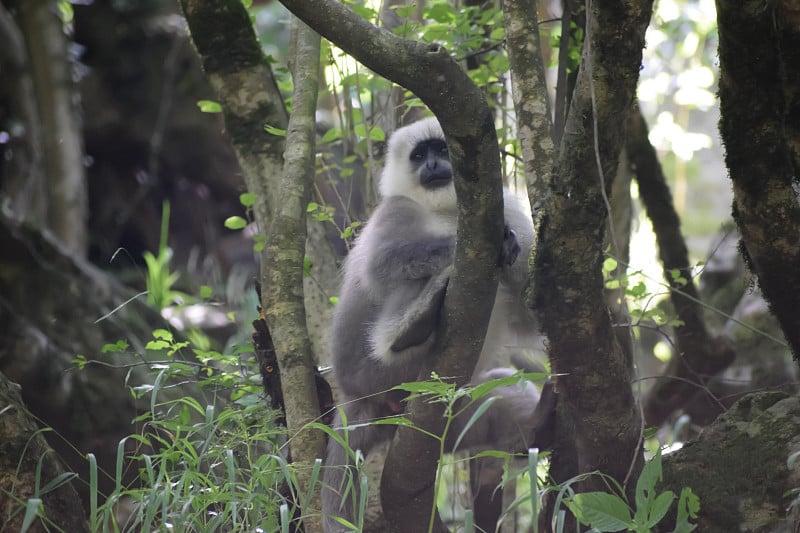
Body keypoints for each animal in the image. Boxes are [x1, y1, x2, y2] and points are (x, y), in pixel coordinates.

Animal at [322, 116, 552, 532]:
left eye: (441, 150)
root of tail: (351, 397)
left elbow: (530, 314)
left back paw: (540, 425)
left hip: (455, 415)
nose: (431, 165)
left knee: (499, 397)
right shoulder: (396, 209)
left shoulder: (507, 210)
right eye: (419, 155)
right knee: (410, 280)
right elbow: (381, 263)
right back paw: (415, 323)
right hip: (376, 373)